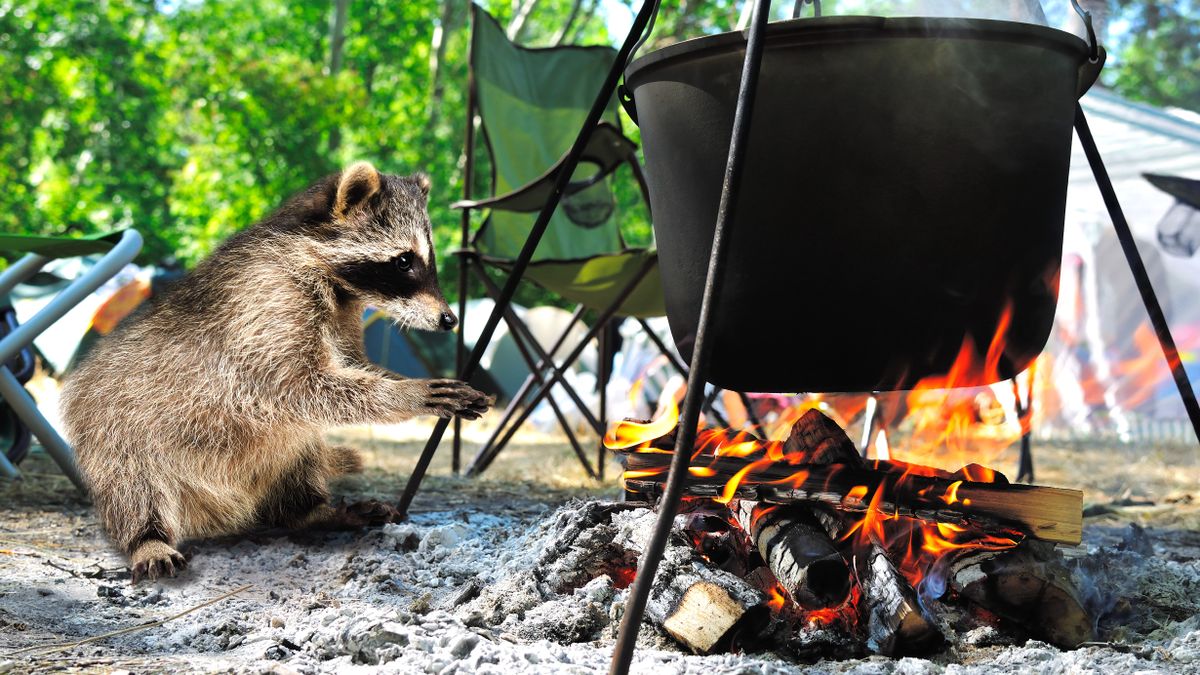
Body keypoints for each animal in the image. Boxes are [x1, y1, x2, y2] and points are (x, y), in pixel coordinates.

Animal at [59, 162, 492, 578]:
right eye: (404, 261)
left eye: (427, 259)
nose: (449, 319)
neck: (333, 280)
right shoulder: (265, 302)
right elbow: (298, 385)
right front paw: (409, 393)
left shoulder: (341, 313)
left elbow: (350, 367)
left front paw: (403, 381)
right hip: (115, 430)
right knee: (132, 485)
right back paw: (146, 537)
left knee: (301, 450)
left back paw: (310, 511)